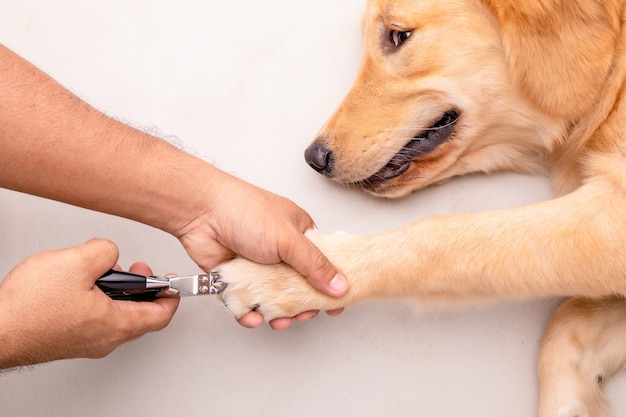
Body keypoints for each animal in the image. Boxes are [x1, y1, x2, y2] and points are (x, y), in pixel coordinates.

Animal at [214, 1, 624, 414]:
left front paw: (285, 276)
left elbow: (439, 237)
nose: (314, 158)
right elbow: (565, 326)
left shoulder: (611, 218)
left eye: (398, 35)